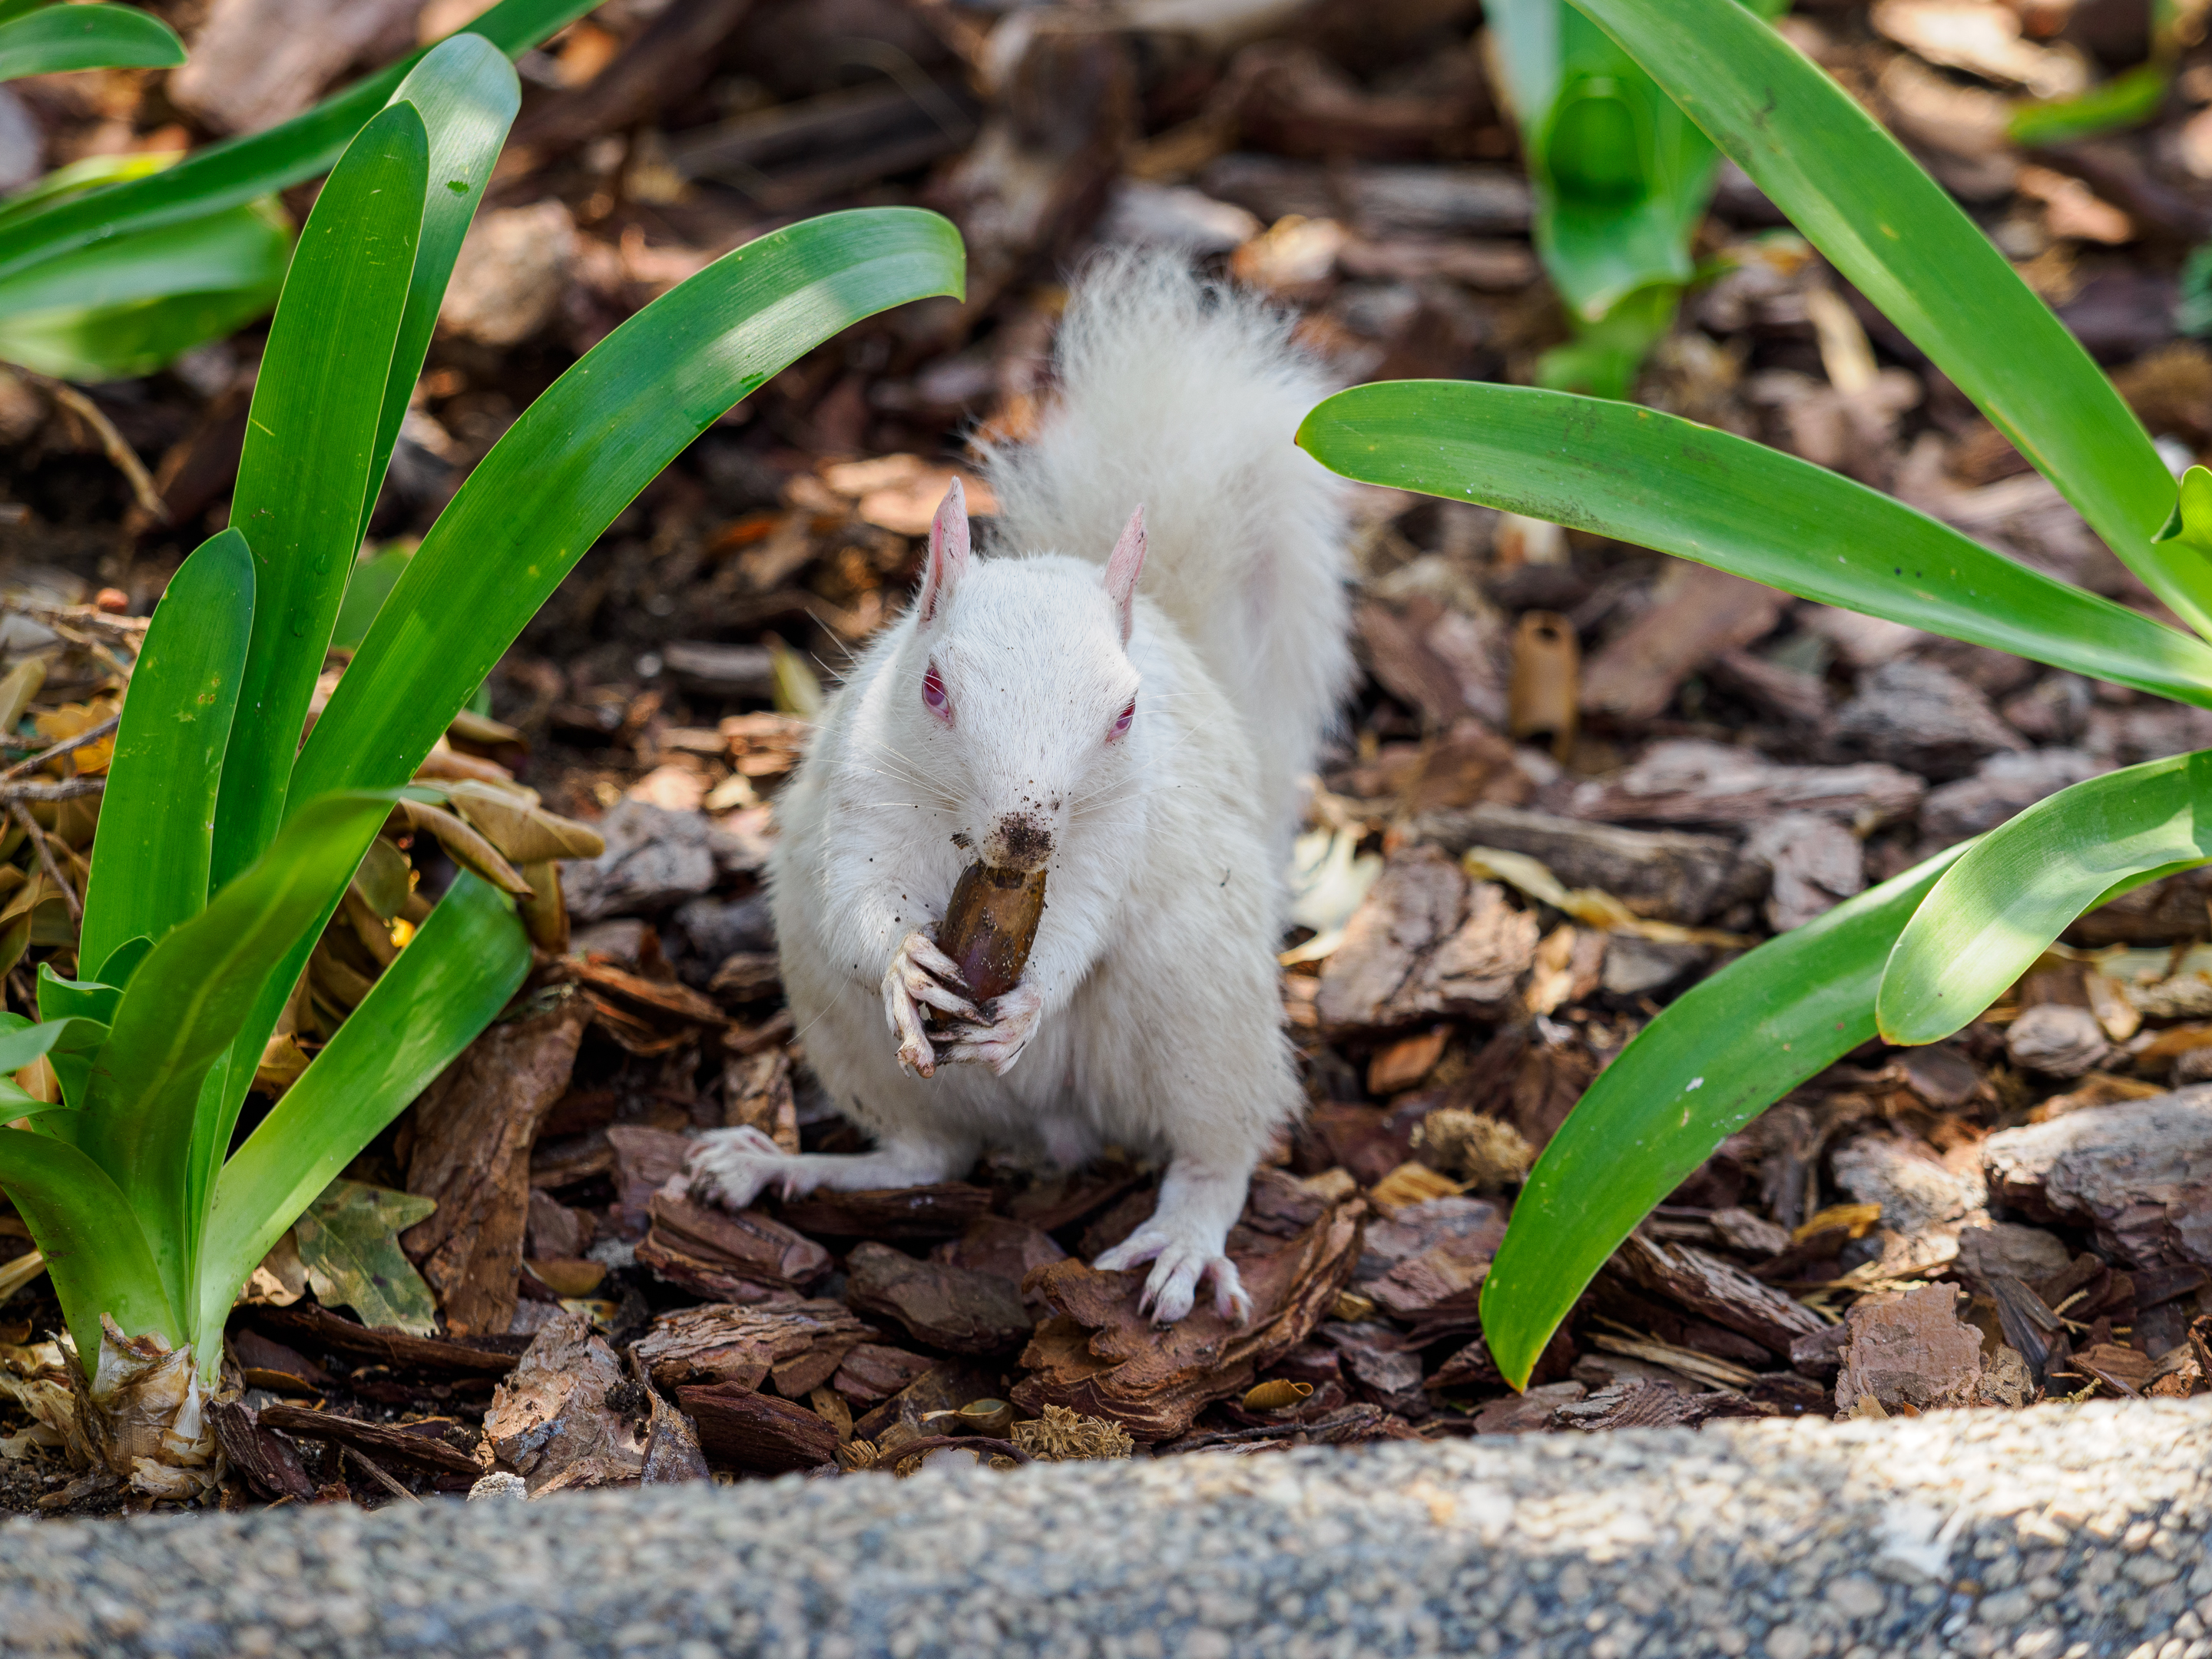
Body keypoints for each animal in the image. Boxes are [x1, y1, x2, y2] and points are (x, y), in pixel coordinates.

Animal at [685, 252, 1354, 1322]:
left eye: (1126, 712)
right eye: (933, 688)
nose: (1027, 833)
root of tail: (1053, 1129)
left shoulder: (1115, 835)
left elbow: (1079, 918)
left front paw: (1034, 995)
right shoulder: (863, 794)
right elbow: (856, 901)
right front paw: (906, 963)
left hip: (1197, 1014)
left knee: (1217, 1153)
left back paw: (1181, 1241)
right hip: (860, 1045)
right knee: (925, 1155)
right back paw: (777, 1167)